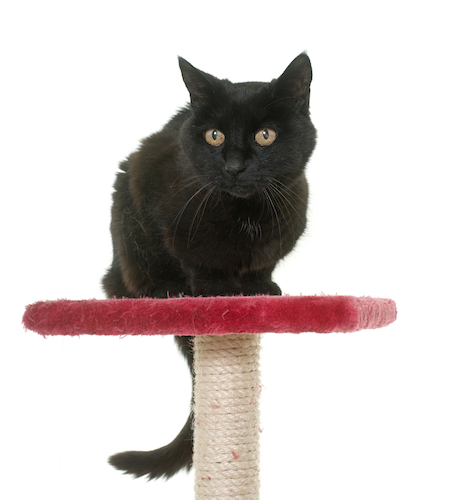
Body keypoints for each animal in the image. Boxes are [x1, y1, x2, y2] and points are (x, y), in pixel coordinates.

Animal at [104, 53, 316, 480]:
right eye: (214, 136)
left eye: (265, 135)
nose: (234, 166)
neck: (245, 213)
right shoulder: (155, 194)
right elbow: (197, 261)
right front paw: (215, 292)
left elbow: (262, 265)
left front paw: (260, 288)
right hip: (124, 221)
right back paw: (168, 291)